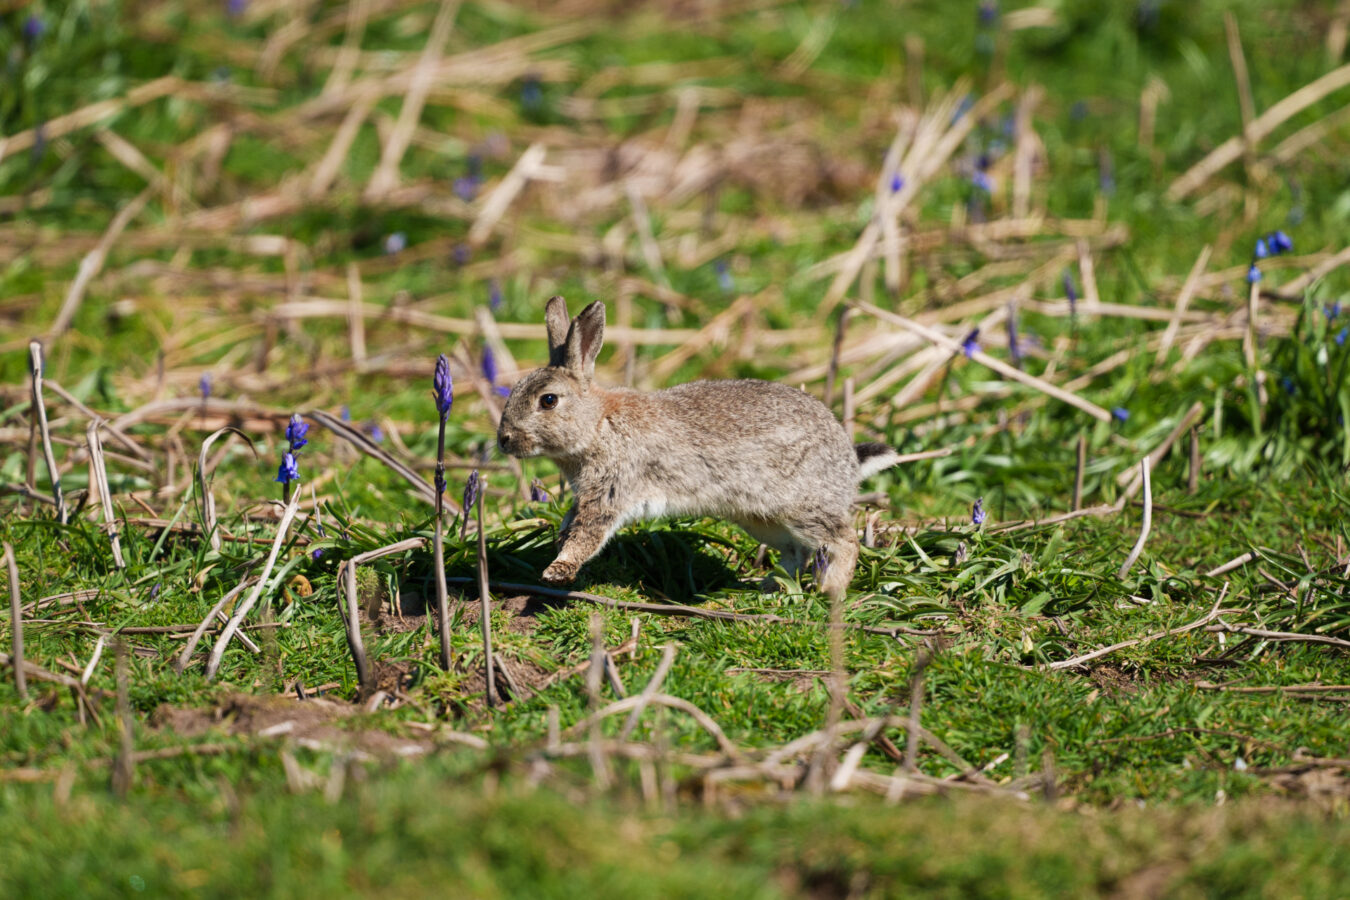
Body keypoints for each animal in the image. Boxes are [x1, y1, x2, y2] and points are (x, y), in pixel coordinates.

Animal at [491, 299, 901, 601]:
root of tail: (849, 461)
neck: (598, 426)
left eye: (548, 400)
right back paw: (766, 588)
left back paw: (831, 592)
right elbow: (571, 520)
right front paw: (558, 542)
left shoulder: (611, 490)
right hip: (762, 519)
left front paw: (557, 570)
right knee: (797, 554)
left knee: (844, 540)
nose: (504, 440)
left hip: (803, 506)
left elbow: (587, 535)